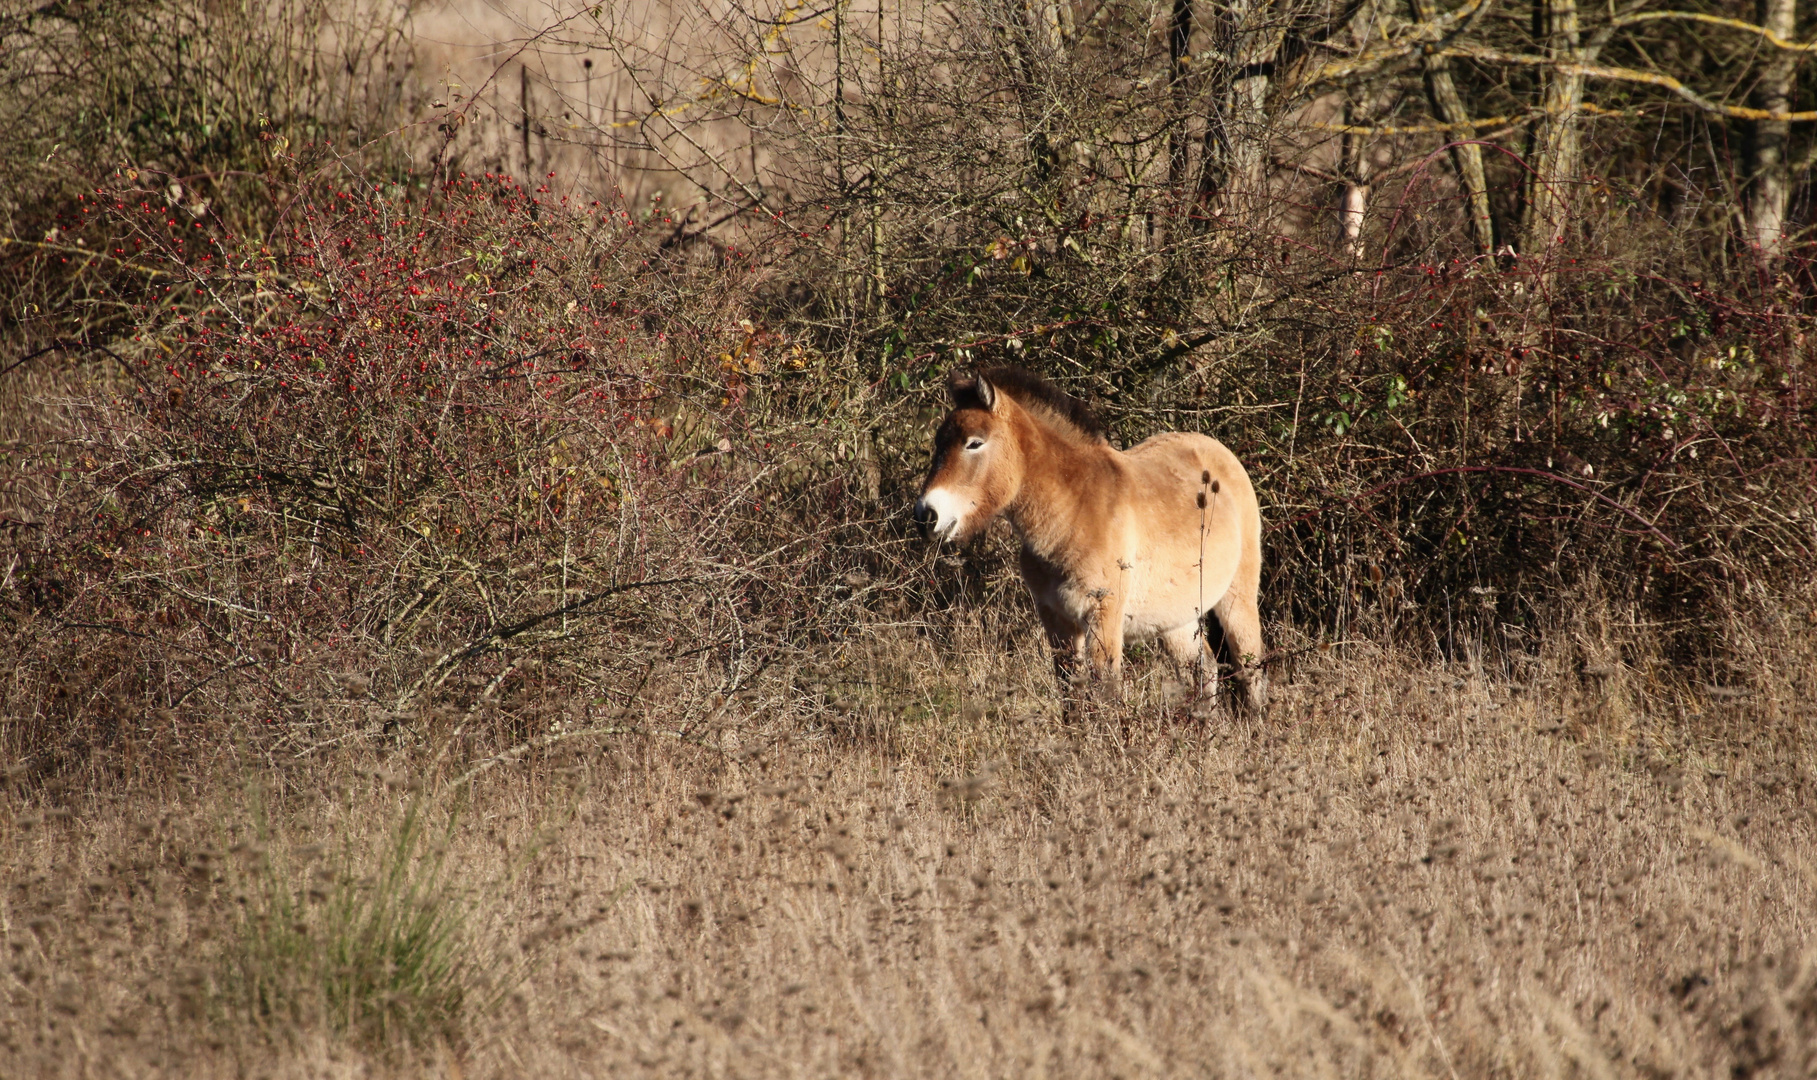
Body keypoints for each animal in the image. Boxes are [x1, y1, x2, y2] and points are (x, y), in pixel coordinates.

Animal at [915, 365, 1271, 709]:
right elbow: (1070, 697)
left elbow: (1105, 694)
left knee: (1250, 671)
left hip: (1237, 601)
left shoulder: (1103, 617)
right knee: (1203, 672)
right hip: (1178, 618)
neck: (1074, 511)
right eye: (938, 443)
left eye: (974, 443)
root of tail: (1222, 455)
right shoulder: (1056, 620)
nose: (926, 515)